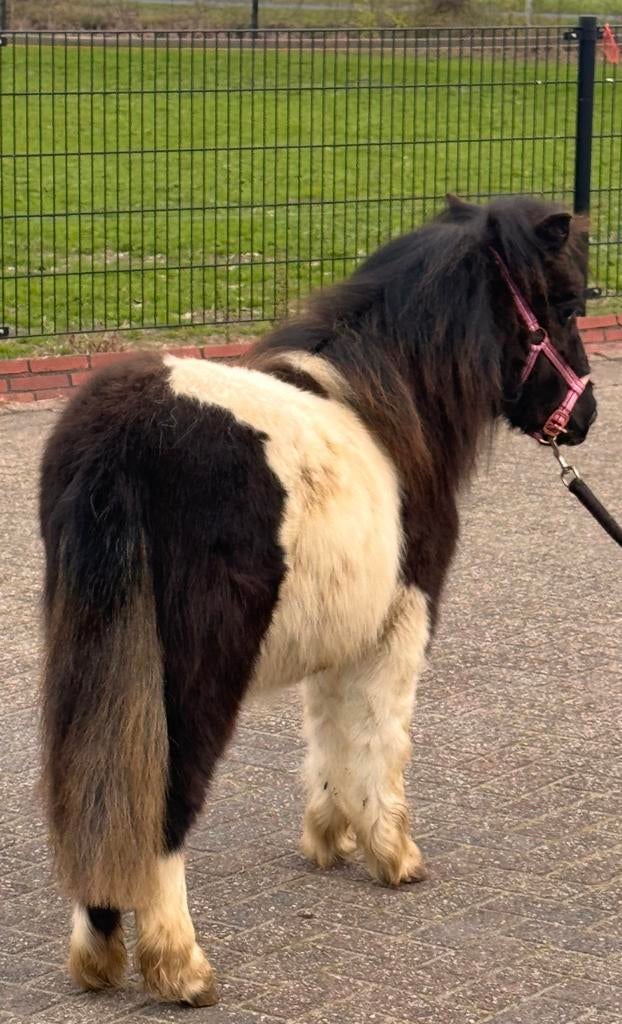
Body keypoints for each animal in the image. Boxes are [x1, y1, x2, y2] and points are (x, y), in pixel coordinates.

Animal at [39, 195, 596, 1006]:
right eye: (564, 301)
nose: (584, 420)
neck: (389, 408)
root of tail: (121, 441)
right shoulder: (404, 623)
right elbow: (382, 737)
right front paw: (392, 852)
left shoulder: (344, 634)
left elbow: (330, 731)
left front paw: (331, 833)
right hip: (191, 676)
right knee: (162, 796)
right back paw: (180, 966)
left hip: (94, 660)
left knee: (97, 791)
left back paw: (99, 950)